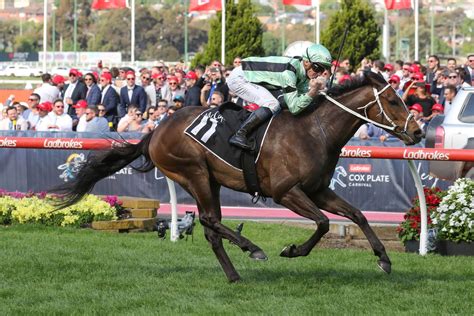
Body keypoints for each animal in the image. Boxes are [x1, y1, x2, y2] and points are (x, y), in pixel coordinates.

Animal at [54, 71, 422, 282]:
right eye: (393, 100)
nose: (418, 132)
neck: (314, 132)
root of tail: (155, 131)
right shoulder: (286, 192)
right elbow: (322, 223)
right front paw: (292, 250)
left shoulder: (317, 190)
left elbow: (357, 215)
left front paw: (384, 259)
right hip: (194, 172)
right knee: (209, 220)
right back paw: (252, 248)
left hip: (210, 180)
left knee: (211, 227)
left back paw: (233, 274)